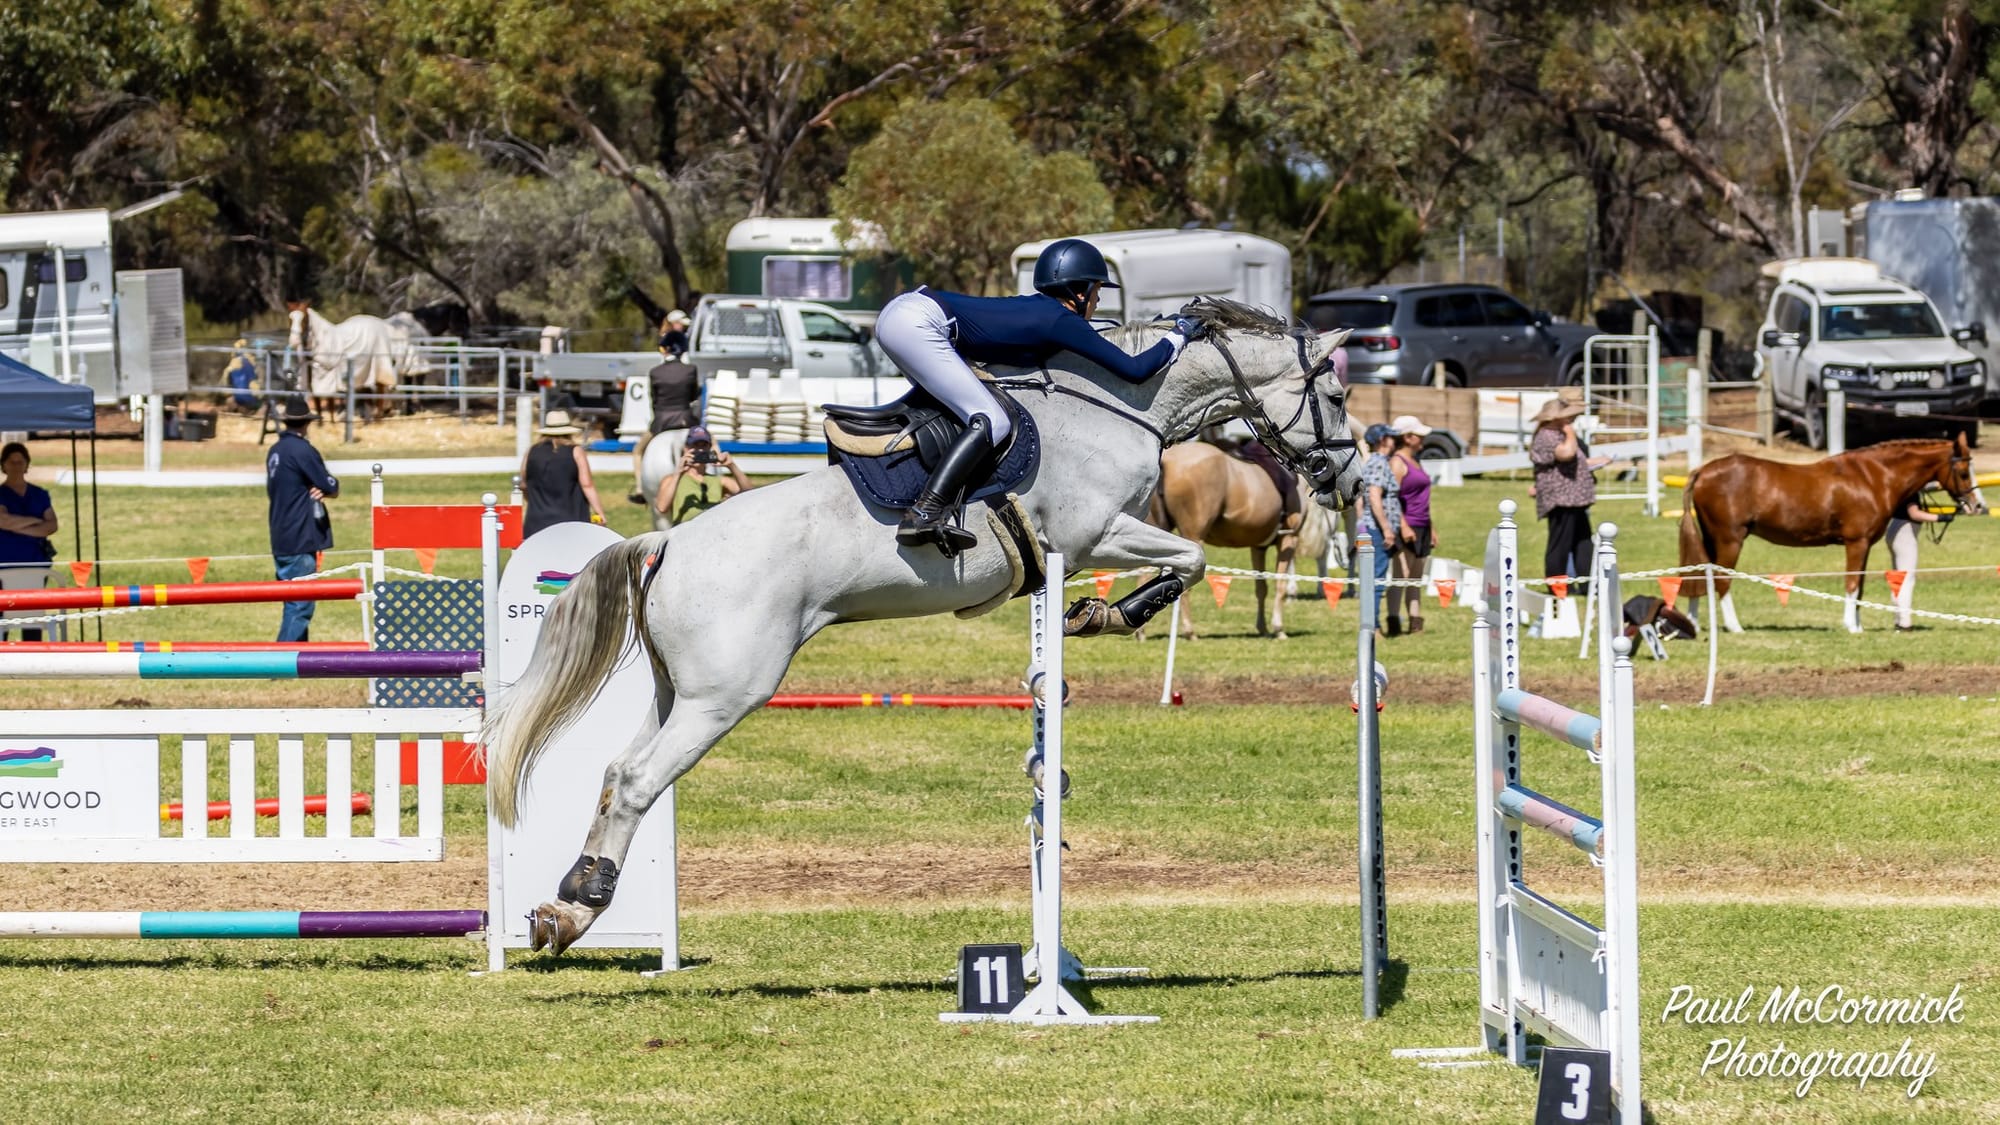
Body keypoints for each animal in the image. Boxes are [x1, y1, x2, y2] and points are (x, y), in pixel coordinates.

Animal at [285, 301, 423, 421]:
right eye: (290, 318)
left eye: (304, 318)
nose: (293, 340)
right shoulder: (313, 376)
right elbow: (318, 398)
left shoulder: (328, 374)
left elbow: (329, 400)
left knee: (382, 390)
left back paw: (379, 416)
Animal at [1149, 442, 1334, 639]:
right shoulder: (1288, 539)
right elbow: (1280, 584)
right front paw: (1278, 628)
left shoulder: (1258, 547)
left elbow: (1261, 587)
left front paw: (1263, 628)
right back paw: (1189, 631)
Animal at [1678, 434, 1985, 633]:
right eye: (1963, 471)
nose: (1977, 505)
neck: (1873, 477)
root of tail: (1703, 470)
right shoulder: (1856, 542)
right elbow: (1851, 583)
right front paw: (1851, 626)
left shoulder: (1865, 545)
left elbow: (1860, 585)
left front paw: (1857, 625)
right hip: (1731, 540)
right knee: (1721, 580)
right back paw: (1734, 627)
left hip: (1712, 538)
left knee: (1702, 574)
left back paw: (1694, 624)